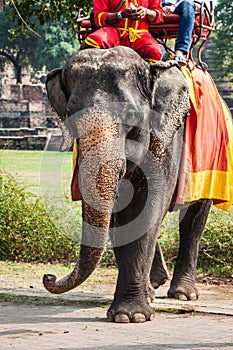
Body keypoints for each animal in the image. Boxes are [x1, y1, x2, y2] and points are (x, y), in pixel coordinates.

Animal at [44, 45, 213, 322]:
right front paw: (130, 311)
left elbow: (147, 209)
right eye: (70, 115)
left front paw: (131, 316)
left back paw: (183, 294)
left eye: (131, 115)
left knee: (194, 219)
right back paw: (153, 288)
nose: (49, 276)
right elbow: (121, 217)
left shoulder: (165, 141)